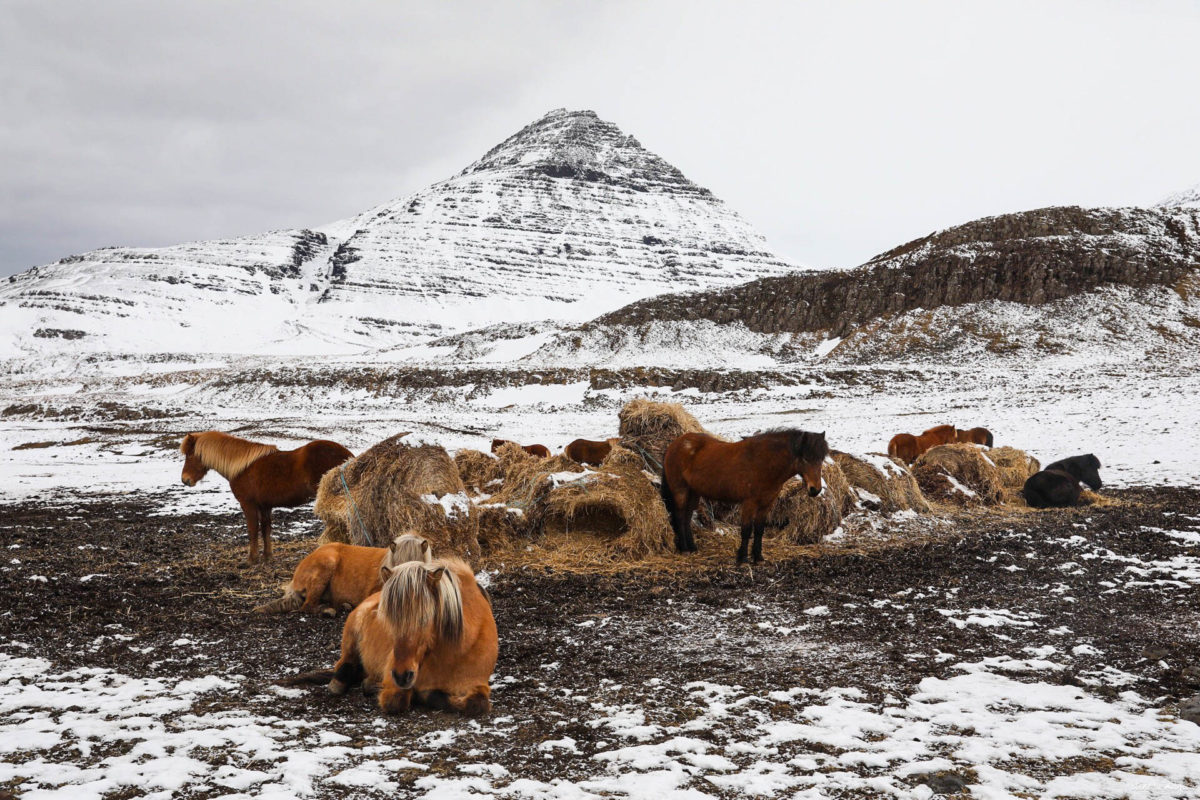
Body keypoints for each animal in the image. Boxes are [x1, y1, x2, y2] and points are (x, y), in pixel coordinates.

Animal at [178, 431, 350, 563]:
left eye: (190, 455)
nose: (185, 480)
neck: (243, 467)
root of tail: (347, 456)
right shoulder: (265, 505)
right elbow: (266, 529)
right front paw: (268, 557)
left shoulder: (248, 504)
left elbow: (253, 529)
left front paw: (251, 559)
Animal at [282, 556, 496, 719]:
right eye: (388, 618)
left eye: (424, 618)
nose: (401, 675)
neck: (451, 654)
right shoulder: (394, 685)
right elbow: (397, 701)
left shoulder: (478, 685)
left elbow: (477, 705)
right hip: (351, 634)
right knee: (344, 666)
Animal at [662, 431, 830, 563]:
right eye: (805, 458)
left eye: (821, 459)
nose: (815, 490)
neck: (764, 463)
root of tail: (675, 444)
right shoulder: (750, 503)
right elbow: (746, 530)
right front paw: (742, 558)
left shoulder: (767, 504)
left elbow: (759, 530)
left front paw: (758, 557)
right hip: (681, 491)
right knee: (680, 516)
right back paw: (685, 549)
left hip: (693, 493)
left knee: (687, 517)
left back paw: (692, 547)